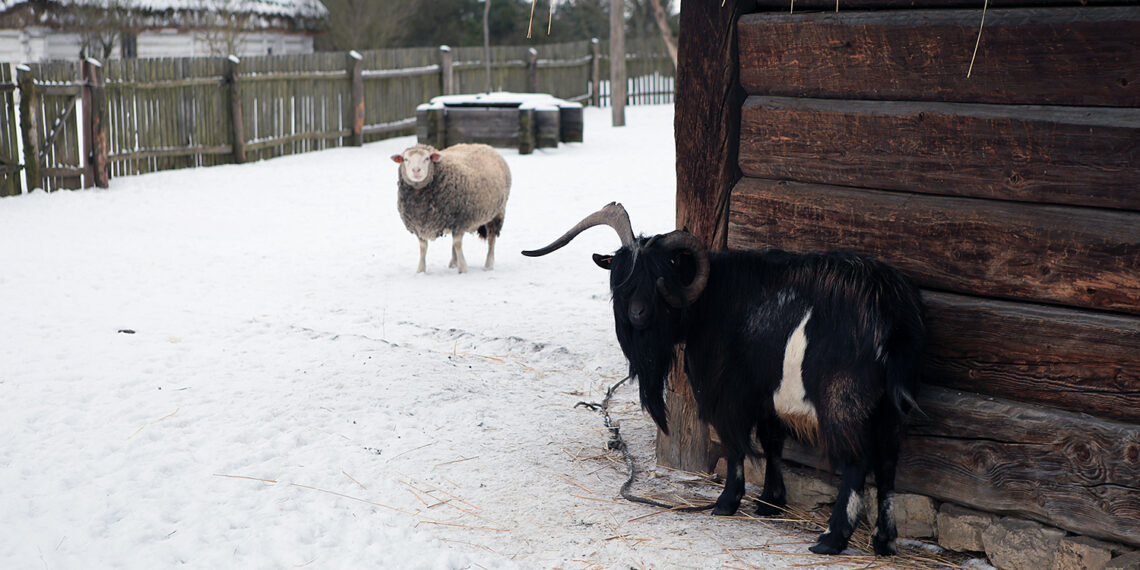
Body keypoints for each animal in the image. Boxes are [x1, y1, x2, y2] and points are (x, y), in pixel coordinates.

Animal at [396, 144, 513, 273]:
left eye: (427, 158)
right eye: (405, 159)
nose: (416, 171)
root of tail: (485, 146)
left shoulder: (459, 221)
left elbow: (457, 244)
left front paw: (463, 269)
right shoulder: (419, 225)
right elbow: (423, 248)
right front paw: (420, 270)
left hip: (497, 212)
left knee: (492, 239)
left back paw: (489, 264)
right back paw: (453, 263)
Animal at [524, 202, 925, 554]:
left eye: (661, 274)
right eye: (621, 276)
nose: (637, 314)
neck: (709, 302)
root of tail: (890, 314)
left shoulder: (725, 392)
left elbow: (734, 446)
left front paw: (726, 502)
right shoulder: (765, 394)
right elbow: (772, 442)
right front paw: (769, 503)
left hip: (843, 401)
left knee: (857, 464)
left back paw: (831, 539)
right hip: (889, 410)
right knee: (888, 465)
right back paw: (883, 541)